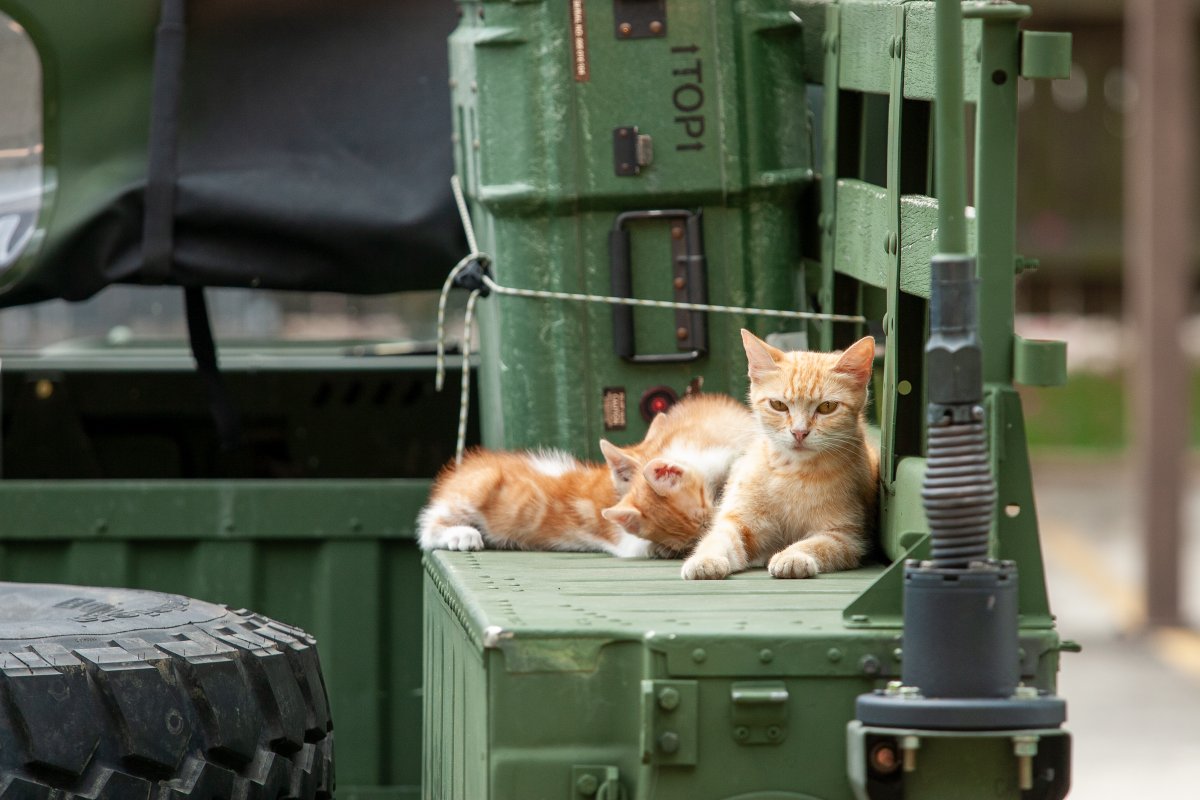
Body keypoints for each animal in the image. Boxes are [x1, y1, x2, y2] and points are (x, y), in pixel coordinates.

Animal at [681, 331, 878, 582]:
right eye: (778, 405)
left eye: (827, 407)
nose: (799, 432)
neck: (792, 472)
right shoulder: (736, 522)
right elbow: (718, 539)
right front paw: (706, 559)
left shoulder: (846, 536)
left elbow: (815, 544)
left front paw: (792, 556)